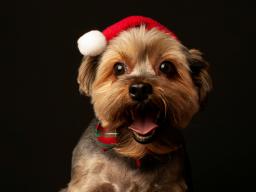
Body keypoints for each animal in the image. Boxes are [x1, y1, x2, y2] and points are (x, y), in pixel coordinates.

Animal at [63, 16, 212, 192]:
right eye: (118, 68)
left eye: (166, 66)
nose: (140, 89)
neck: (135, 153)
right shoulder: (87, 182)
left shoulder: (172, 183)